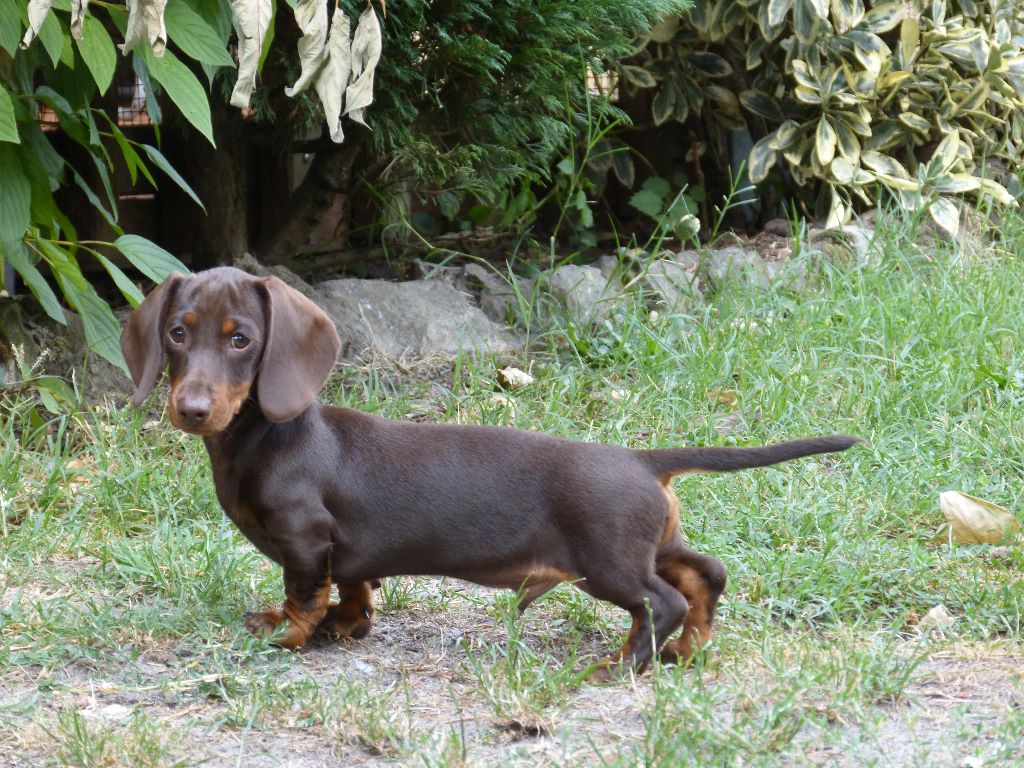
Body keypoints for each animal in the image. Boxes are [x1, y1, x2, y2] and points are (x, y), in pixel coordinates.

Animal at [121, 267, 858, 678]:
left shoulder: (305, 541)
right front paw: (343, 626)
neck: (267, 435)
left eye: (240, 338)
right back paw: (688, 649)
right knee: (707, 573)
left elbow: (305, 595)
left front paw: (289, 634)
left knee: (661, 602)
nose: (190, 409)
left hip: (607, 561)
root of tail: (639, 458)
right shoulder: (347, 553)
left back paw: (621, 665)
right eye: (179, 332)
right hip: (649, 541)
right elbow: (353, 592)